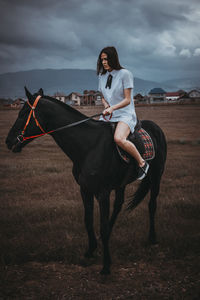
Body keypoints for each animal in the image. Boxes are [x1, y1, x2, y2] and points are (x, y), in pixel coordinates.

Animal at [5, 88, 166, 276]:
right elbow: (88, 220)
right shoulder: (85, 189)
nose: (8, 141)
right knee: (118, 205)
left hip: (156, 176)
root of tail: (155, 127)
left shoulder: (103, 193)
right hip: (121, 184)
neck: (89, 146)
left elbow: (101, 225)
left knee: (152, 204)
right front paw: (91, 250)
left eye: (23, 114)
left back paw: (152, 238)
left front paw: (106, 265)